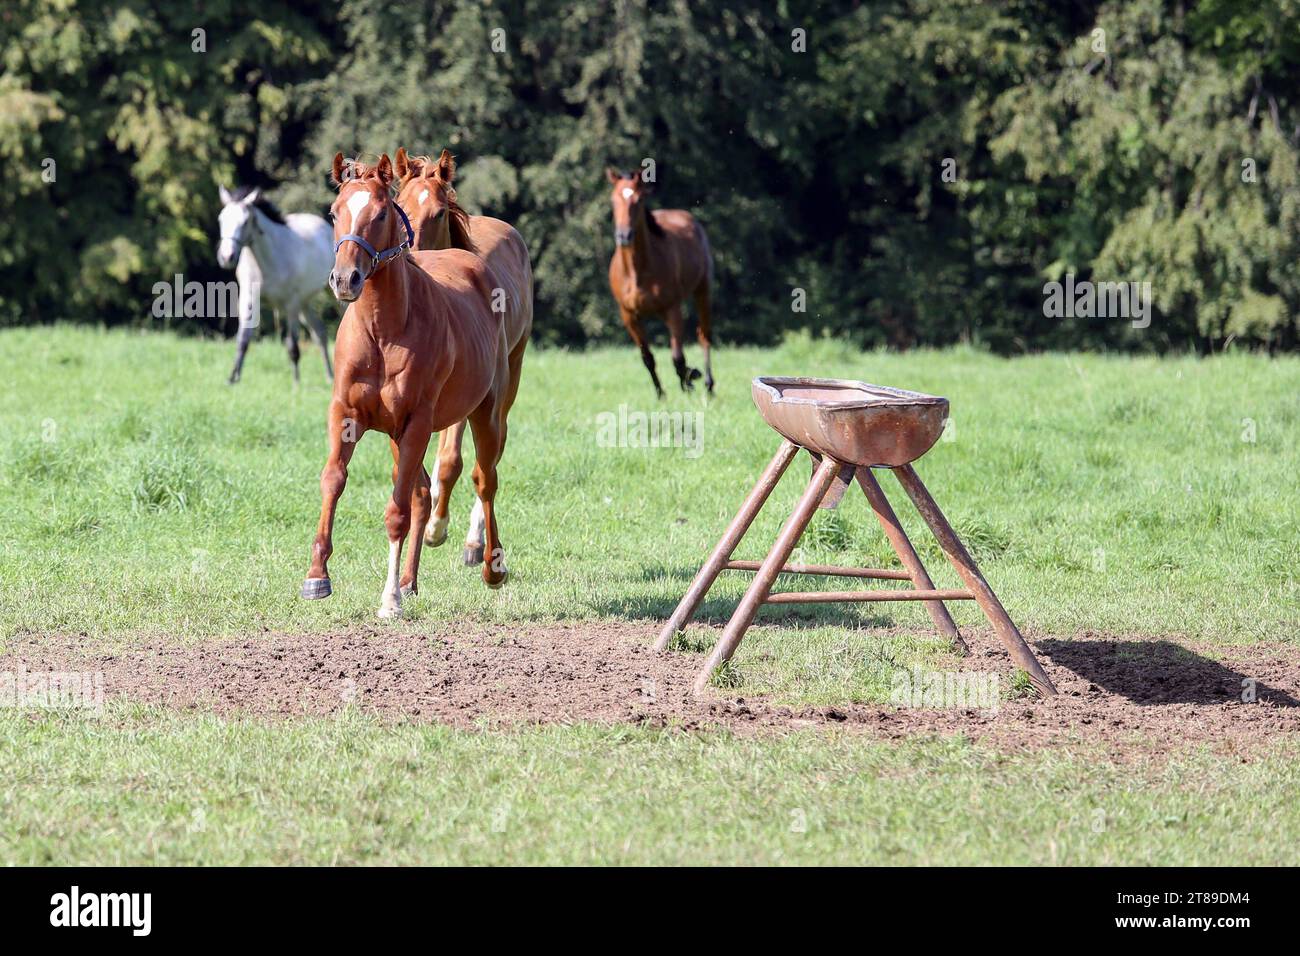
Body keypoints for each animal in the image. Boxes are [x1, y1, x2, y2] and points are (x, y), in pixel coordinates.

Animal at [216, 185, 335, 384]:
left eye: (245, 221)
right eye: (221, 219)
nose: (227, 257)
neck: (269, 260)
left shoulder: (291, 305)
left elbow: (292, 345)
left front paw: (296, 382)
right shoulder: (248, 300)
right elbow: (242, 340)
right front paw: (232, 379)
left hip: (327, 296)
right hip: (305, 304)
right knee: (320, 334)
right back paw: (330, 377)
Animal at [301, 153, 516, 618]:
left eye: (380, 213)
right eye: (334, 212)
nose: (345, 279)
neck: (384, 332)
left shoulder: (416, 422)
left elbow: (397, 510)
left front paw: (389, 600)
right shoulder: (346, 415)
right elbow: (333, 480)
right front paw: (317, 577)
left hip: (485, 413)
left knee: (484, 480)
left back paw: (491, 566)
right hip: (399, 436)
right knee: (422, 492)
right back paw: (410, 580)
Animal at [392, 147, 533, 557]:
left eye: (438, 213)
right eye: (400, 205)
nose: (412, 255)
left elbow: (453, 459)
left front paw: (436, 528)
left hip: (510, 372)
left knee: (495, 444)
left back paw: (474, 538)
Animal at [605, 167, 714, 397]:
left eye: (638, 200)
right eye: (613, 200)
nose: (624, 235)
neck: (636, 272)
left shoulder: (672, 309)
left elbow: (677, 357)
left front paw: (690, 381)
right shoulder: (629, 316)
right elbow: (647, 357)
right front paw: (661, 394)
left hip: (703, 290)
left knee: (704, 335)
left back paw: (708, 384)